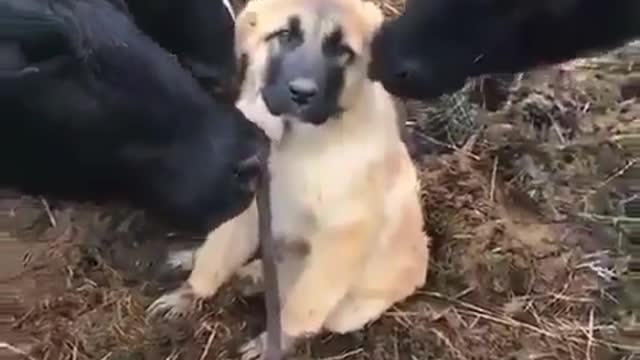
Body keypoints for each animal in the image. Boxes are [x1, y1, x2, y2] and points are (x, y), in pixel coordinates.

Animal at [148, 0, 432, 358]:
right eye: (285, 35)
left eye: (342, 50)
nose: (302, 93)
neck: (292, 135)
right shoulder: (249, 199)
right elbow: (218, 252)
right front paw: (190, 293)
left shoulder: (344, 233)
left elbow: (300, 308)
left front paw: (274, 342)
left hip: (345, 305)